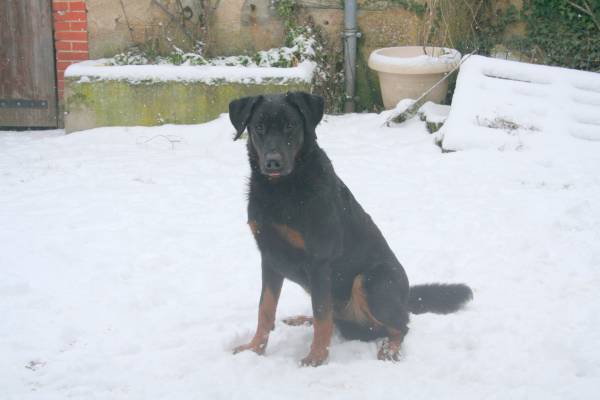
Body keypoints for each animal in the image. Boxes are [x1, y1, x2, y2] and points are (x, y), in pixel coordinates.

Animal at [230, 91, 474, 366]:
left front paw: (316, 358)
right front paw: (254, 349)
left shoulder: (319, 261)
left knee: (401, 325)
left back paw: (390, 349)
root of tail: (406, 298)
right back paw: (302, 319)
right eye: (259, 127)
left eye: (291, 125)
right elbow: (265, 309)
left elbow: (322, 315)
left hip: (369, 280)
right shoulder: (270, 257)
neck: (281, 189)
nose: (273, 163)